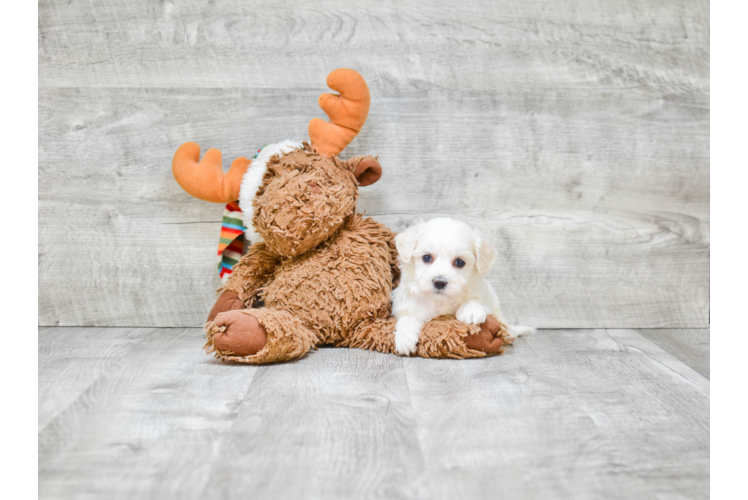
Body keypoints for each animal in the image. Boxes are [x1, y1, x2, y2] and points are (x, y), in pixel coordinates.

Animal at [392, 217, 532, 354]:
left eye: (459, 262)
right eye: (426, 257)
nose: (439, 282)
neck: (440, 301)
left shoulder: (483, 297)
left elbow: (475, 300)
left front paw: (471, 310)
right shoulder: (405, 305)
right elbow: (407, 317)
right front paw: (405, 337)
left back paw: (510, 333)